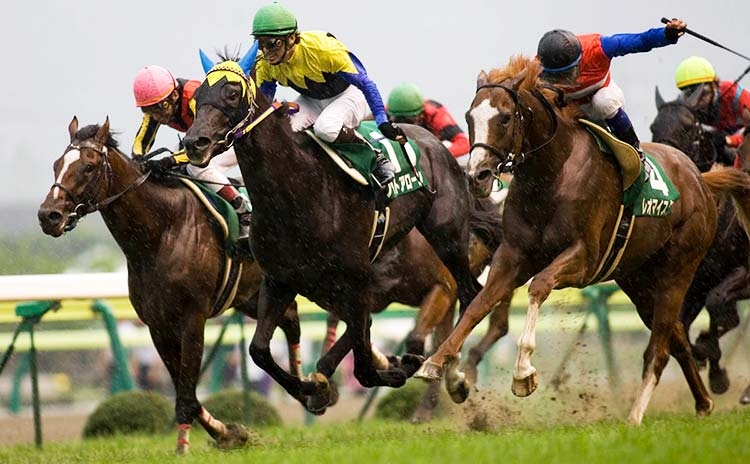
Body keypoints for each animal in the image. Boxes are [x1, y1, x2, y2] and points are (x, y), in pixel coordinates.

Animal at [36, 117, 304, 454]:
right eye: (57, 164)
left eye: (88, 166)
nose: (49, 215)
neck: (161, 232)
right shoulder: (158, 325)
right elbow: (185, 392)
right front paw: (230, 433)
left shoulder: (193, 318)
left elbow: (187, 393)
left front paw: (184, 446)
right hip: (251, 296)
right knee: (290, 320)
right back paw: (307, 385)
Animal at [185, 52, 484, 412]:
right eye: (197, 96)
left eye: (232, 94)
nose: (193, 143)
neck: (297, 192)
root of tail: (432, 142)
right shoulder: (280, 281)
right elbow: (259, 351)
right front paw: (313, 388)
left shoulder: (356, 279)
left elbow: (365, 366)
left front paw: (396, 368)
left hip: (446, 236)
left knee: (470, 292)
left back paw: (447, 371)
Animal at [652, 90, 750, 396]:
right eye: (654, 127)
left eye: (688, 127)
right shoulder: (694, 283)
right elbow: (682, 325)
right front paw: (709, 363)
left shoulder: (744, 274)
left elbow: (720, 308)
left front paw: (715, 371)